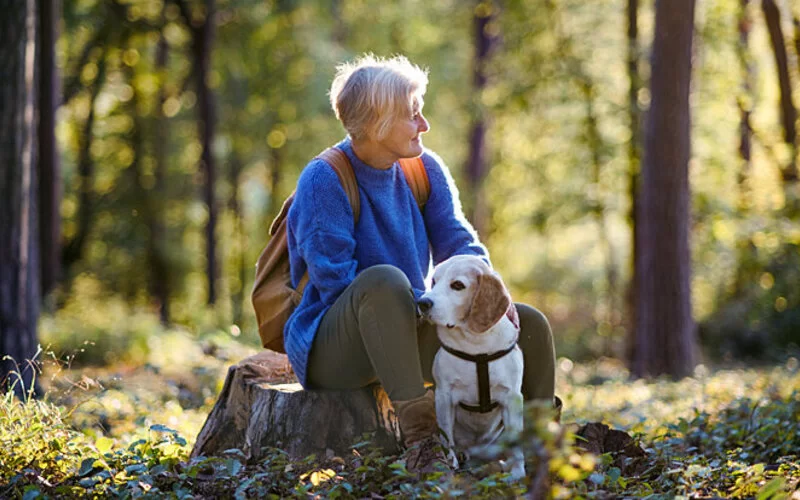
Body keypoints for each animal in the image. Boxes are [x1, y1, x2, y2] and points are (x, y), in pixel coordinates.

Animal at [418, 256, 524, 478]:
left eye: (457, 285)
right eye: (434, 281)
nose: (422, 303)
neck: (476, 346)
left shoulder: (512, 398)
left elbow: (517, 444)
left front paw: (519, 473)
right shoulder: (444, 396)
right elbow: (446, 436)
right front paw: (451, 462)